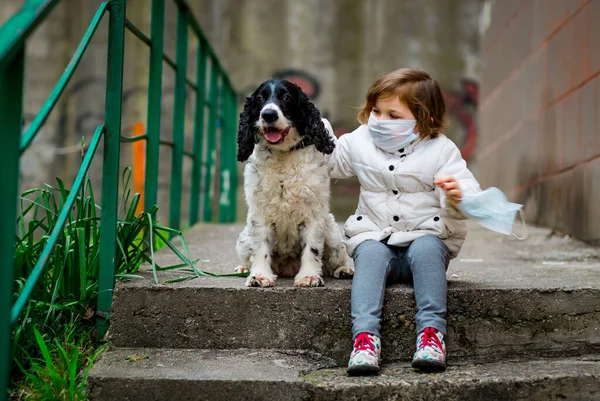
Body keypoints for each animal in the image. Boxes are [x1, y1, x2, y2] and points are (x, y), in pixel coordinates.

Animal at [234, 78, 354, 286]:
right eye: (260, 99)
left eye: (286, 98)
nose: (268, 114)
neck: (284, 154)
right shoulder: (259, 213)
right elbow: (260, 248)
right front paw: (260, 276)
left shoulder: (314, 212)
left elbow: (312, 249)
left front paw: (309, 276)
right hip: (244, 237)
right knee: (246, 254)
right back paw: (244, 268)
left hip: (332, 232)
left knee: (335, 257)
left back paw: (343, 270)